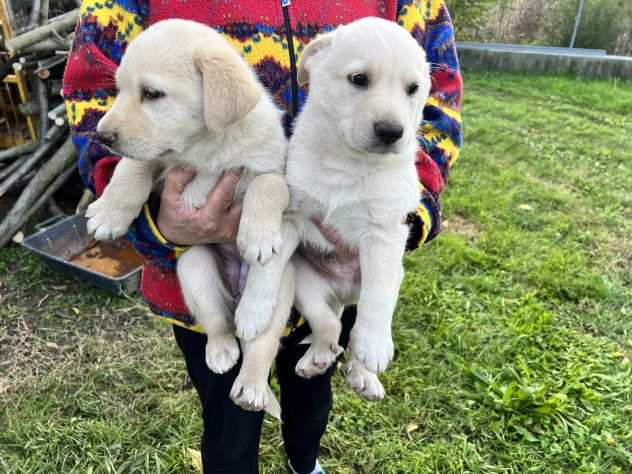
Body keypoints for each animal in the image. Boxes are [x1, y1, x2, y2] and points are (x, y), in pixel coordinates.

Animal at [84, 18, 292, 412]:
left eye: (152, 94)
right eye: (119, 90)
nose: (102, 136)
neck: (201, 146)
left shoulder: (276, 170)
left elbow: (264, 185)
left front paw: (257, 237)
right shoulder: (157, 159)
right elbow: (132, 167)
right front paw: (108, 212)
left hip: (281, 295)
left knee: (260, 342)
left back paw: (251, 382)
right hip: (195, 267)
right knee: (218, 323)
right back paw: (222, 351)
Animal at [238, 15, 434, 400]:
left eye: (412, 89)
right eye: (359, 79)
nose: (392, 132)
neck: (347, 161)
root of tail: (343, 295)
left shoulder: (385, 234)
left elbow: (377, 298)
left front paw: (374, 348)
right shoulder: (290, 216)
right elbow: (265, 269)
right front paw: (253, 312)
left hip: (393, 276)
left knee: (359, 323)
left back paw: (365, 372)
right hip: (306, 283)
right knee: (328, 325)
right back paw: (317, 357)